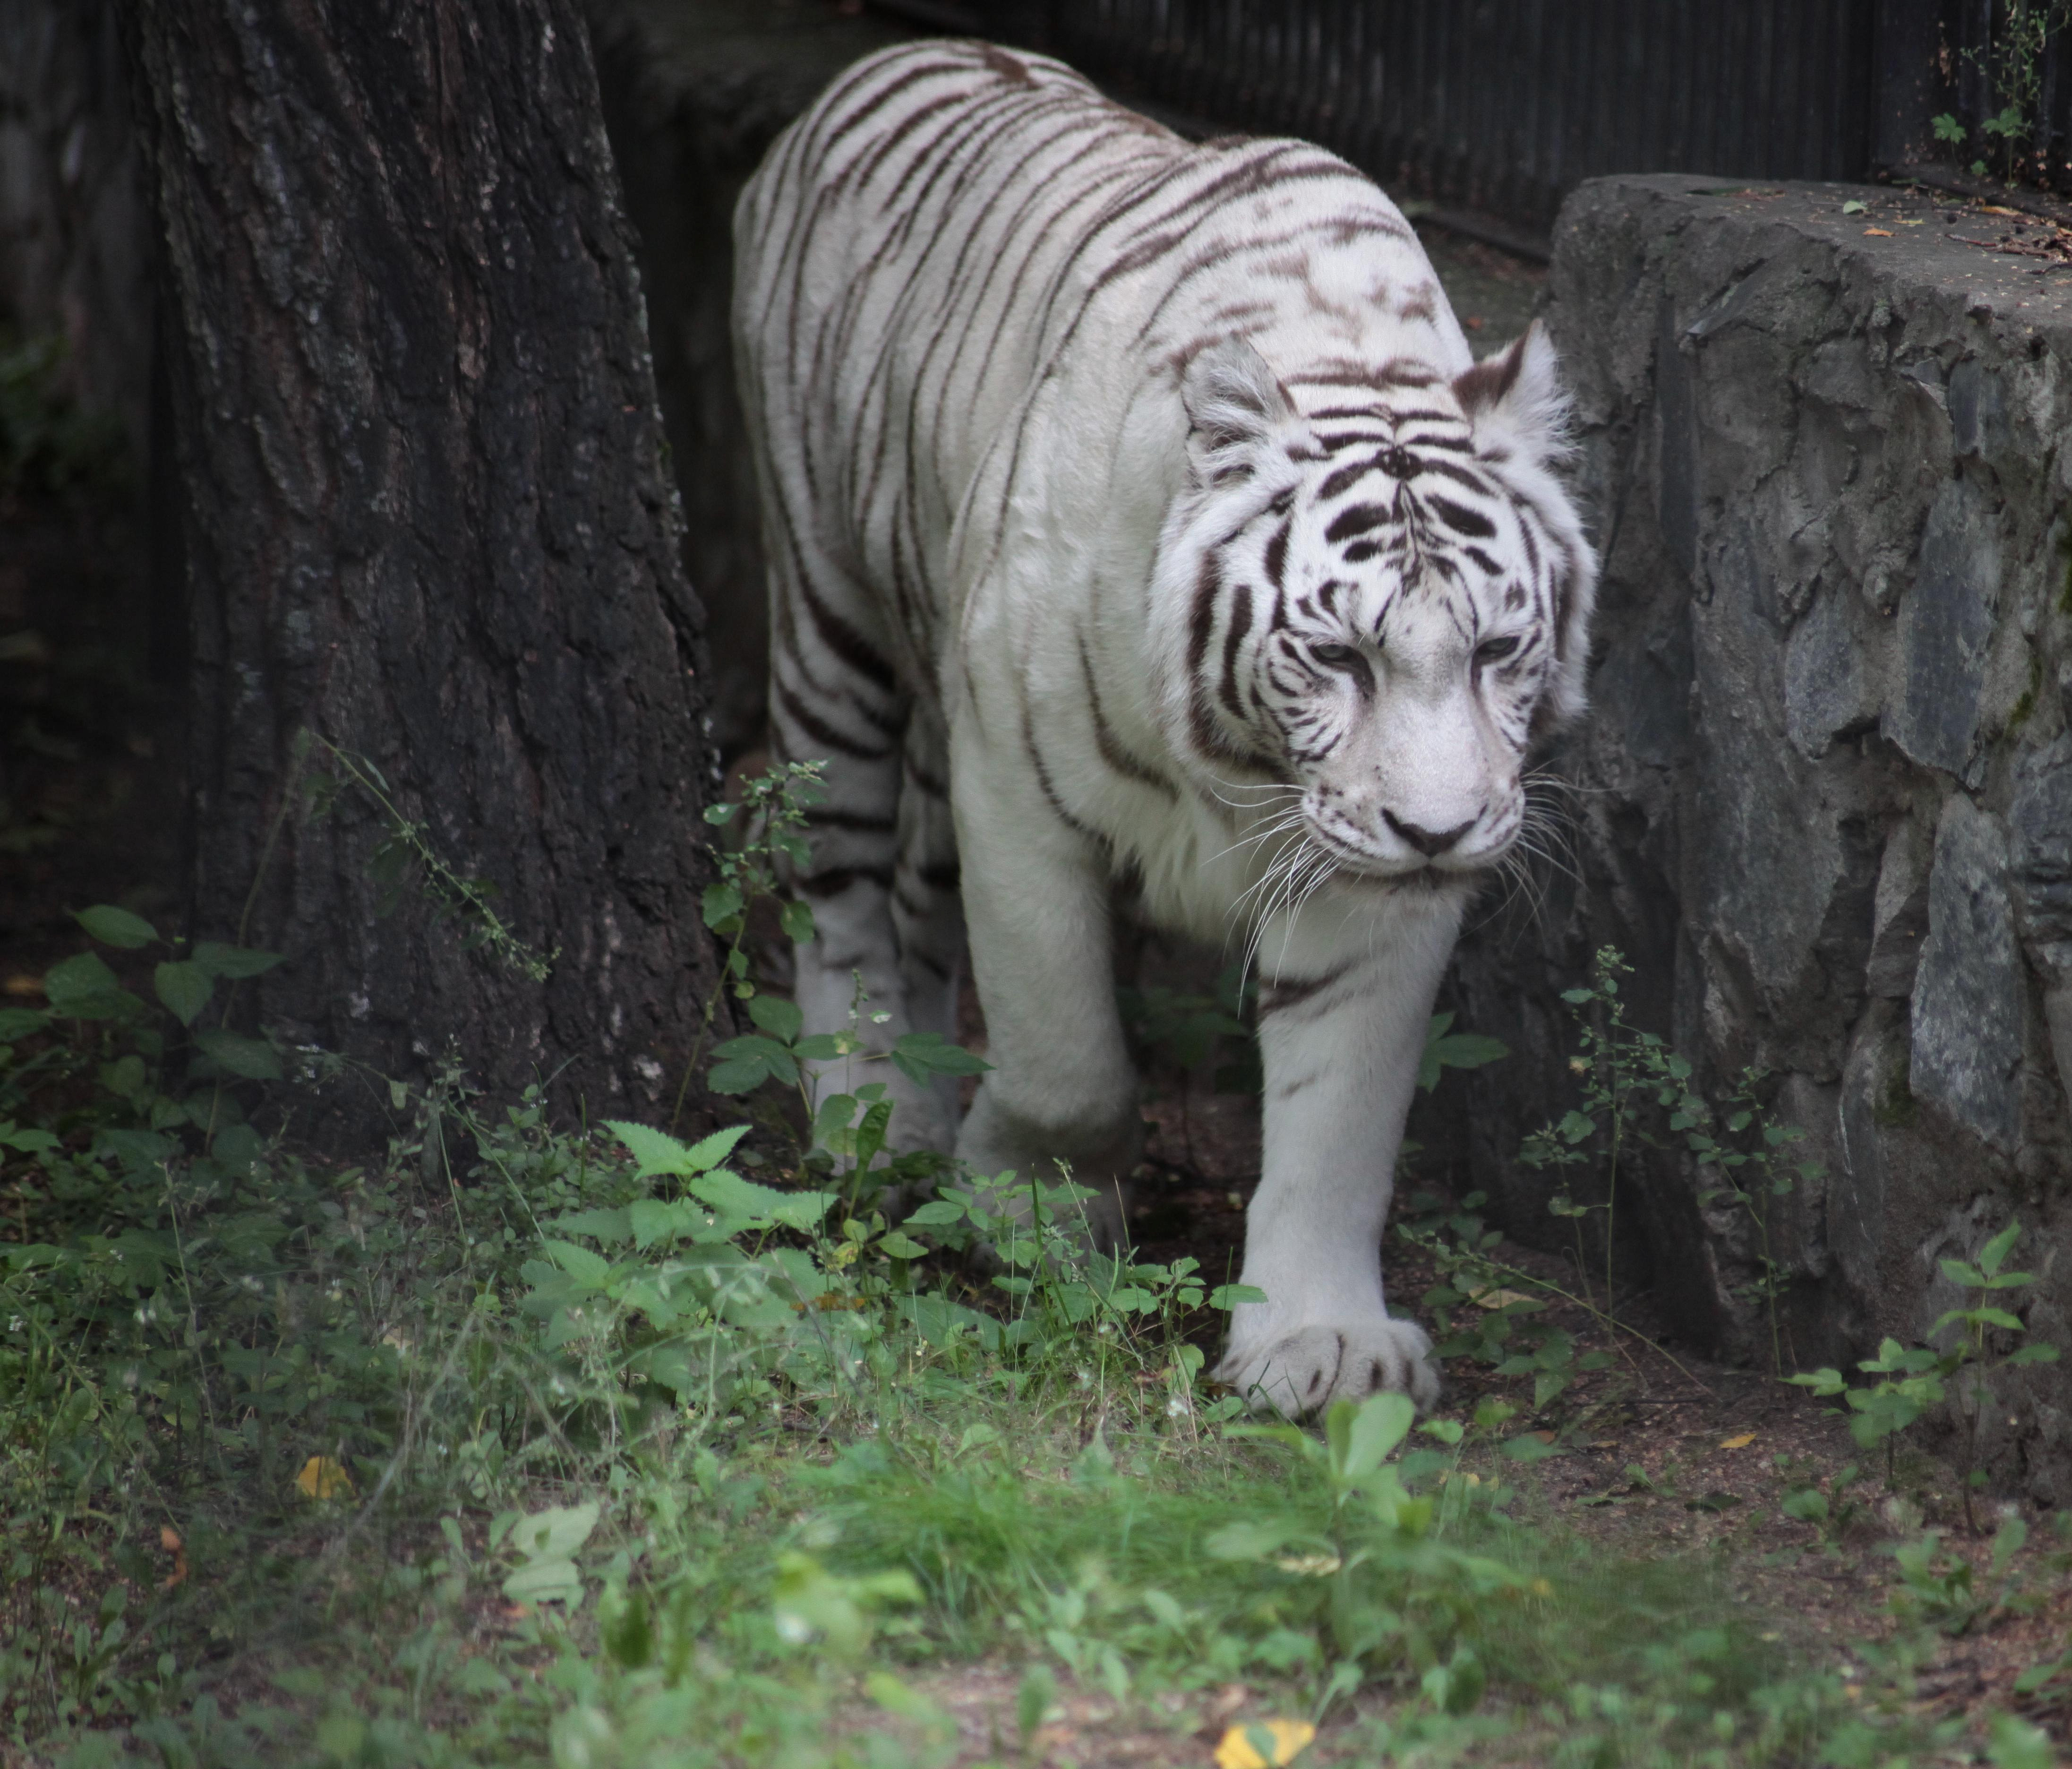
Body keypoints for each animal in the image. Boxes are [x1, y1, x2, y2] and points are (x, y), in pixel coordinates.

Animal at [737, 38, 1591, 1425]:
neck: (1249, 770)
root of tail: (890, 54)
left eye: (1494, 652)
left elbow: (1340, 1115)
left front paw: (1321, 1343)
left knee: (915, 902)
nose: (1440, 829)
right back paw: (876, 1114)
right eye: (1338, 656)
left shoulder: (1370, 884)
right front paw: (1020, 1210)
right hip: (827, 619)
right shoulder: (1017, 790)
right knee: (841, 889)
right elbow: (1065, 1056)